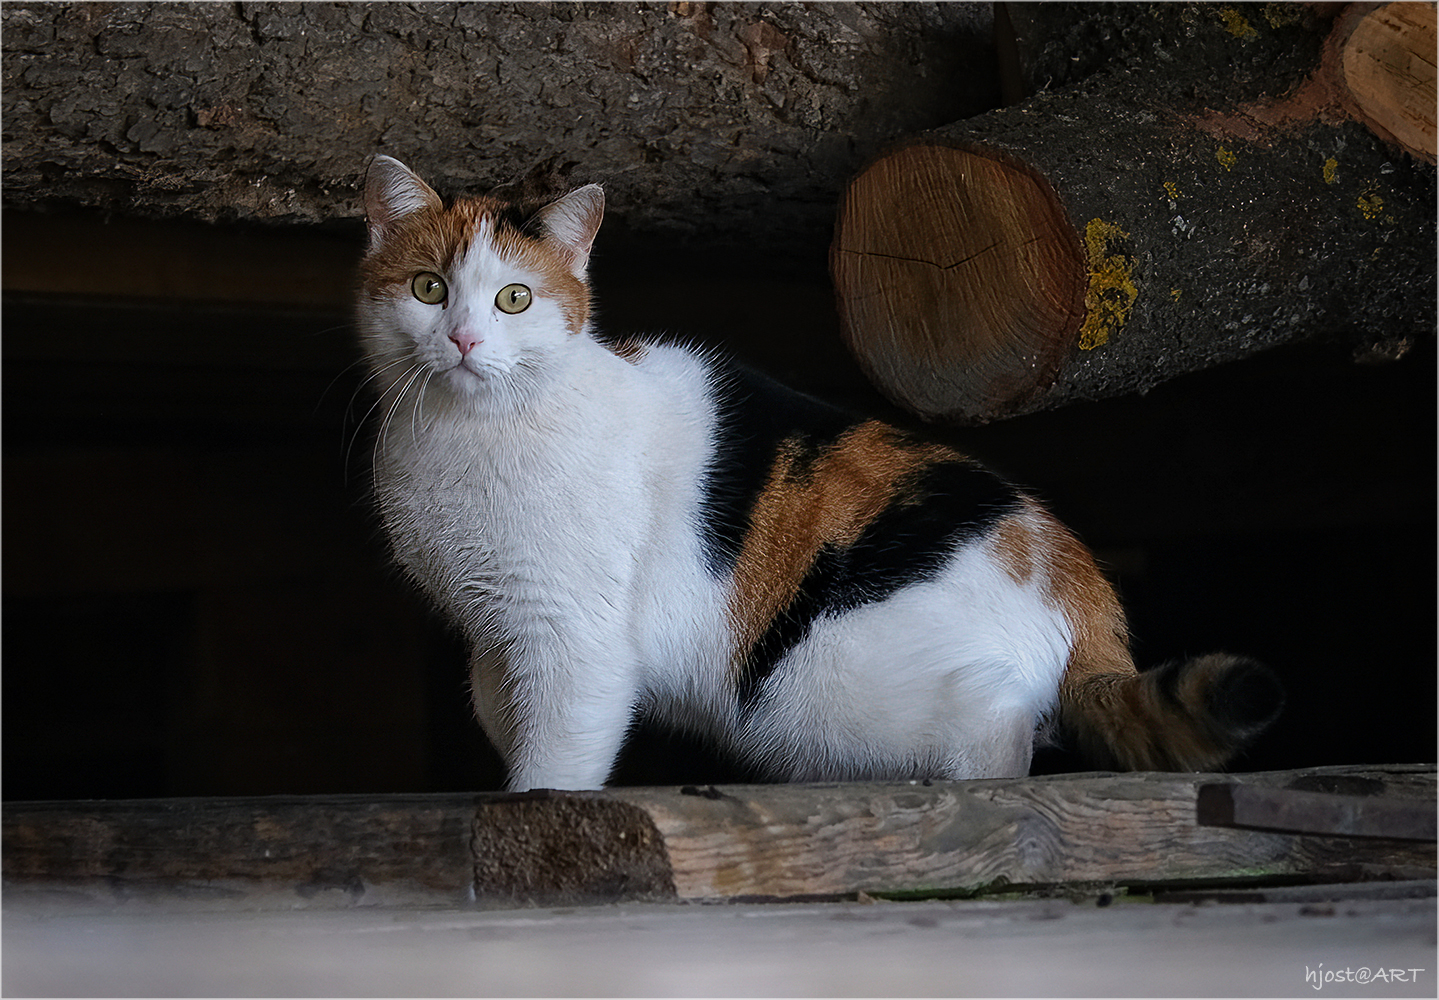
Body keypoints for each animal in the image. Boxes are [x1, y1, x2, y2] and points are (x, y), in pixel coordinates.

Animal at [351, 156, 1283, 794]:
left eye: (513, 299)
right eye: (428, 289)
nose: (463, 339)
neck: (464, 436)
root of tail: (1069, 571)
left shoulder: (573, 636)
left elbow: (557, 758)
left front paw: (532, 812)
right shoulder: (494, 637)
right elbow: (502, 714)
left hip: (814, 695)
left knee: (997, 727)